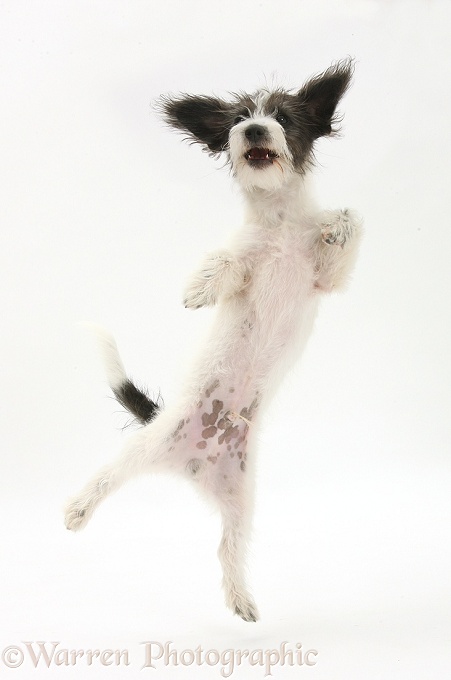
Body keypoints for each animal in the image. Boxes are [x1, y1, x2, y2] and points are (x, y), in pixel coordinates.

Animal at [65, 58, 364, 620]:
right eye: (241, 117)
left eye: (283, 118)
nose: (254, 131)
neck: (280, 222)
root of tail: (191, 464)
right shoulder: (244, 261)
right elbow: (224, 260)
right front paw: (198, 289)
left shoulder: (328, 279)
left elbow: (352, 221)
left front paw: (337, 226)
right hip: (145, 447)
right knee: (106, 476)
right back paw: (77, 508)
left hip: (241, 501)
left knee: (228, 549)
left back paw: (242, 599)